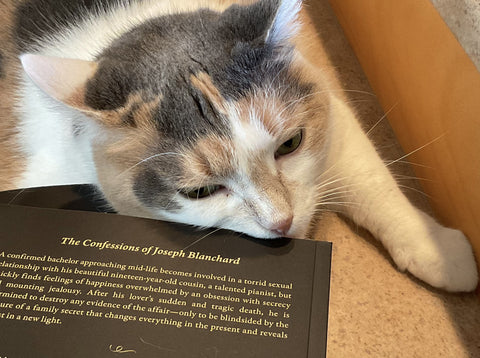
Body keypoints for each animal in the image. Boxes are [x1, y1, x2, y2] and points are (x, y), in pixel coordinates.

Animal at [0, 0, 478, 290]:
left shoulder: (332, 111)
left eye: (291, 144)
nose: (282, 222)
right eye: (201, 192)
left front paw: (440, 253)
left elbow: (372, 183)